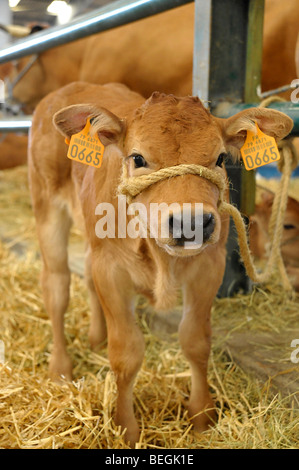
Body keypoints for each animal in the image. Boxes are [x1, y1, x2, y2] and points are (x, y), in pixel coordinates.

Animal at [28, 81, 292, 444]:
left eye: (220, 157)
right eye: (138, 158)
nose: (191, 222)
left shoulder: (209, 269)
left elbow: (196, 341)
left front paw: (202, 416)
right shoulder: (111, 271)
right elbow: (126, 355)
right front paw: (126, 428)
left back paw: (96, 338)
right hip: (47, 208)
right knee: (57, 287)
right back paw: (60, 368)